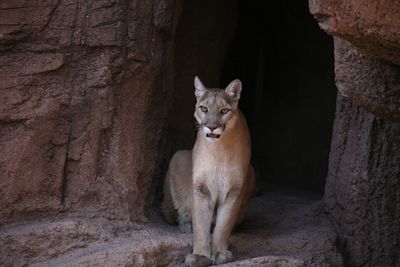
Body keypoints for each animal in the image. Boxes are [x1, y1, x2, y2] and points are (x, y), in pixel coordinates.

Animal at [162, 76, 253, 266]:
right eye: (203, 108)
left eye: (224, 110)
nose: (211, 127)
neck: (218, 149)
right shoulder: (201, 187)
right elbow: (200, 223)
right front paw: (200, 255)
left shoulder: (234, 189)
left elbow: (224, 224)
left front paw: (219, 252)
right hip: (178, 156)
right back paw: (185, 224)